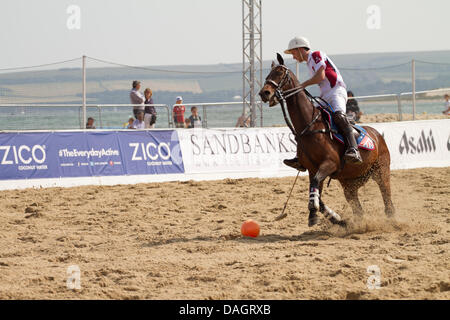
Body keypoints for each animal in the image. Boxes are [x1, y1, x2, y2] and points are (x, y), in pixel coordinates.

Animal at [260, 53, 394, 226]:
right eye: (268, 75)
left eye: (281, 73)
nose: (264, 93)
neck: (310, 125)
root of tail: (377, 135)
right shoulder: (313, 169)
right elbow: (316, 192)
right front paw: (331, 217)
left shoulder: (330, 164)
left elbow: (316, 188)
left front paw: (318, 213)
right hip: (349, 182)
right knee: (358, 209)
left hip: (381, 171)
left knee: (387, 199)